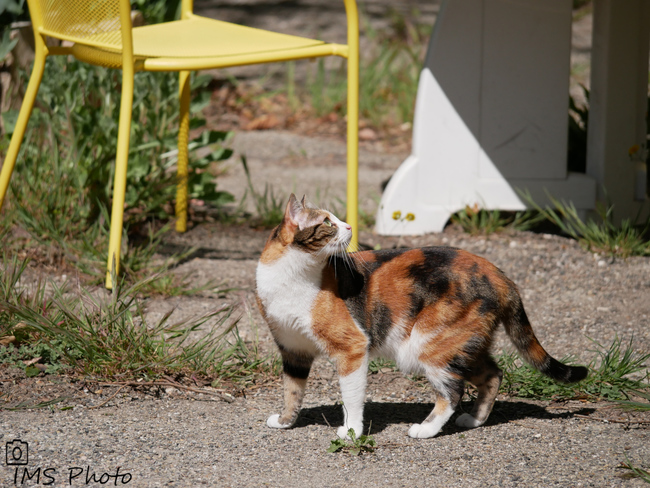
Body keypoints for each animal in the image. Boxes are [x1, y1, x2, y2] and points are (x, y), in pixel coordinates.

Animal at [254, 194, 588, 438]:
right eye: (327, 222)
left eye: (335, 220)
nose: (348, 227)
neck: (291, 277)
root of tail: (499, 274)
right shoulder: (293, 350)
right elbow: (292, 390)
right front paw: (285, 421)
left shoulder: (352, 348)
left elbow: (351, 398)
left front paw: (351, 432)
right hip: (461, 343)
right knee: (493, 374)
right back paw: (474, 420)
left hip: (428, 344)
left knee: (452, 392)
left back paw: (426, 430)